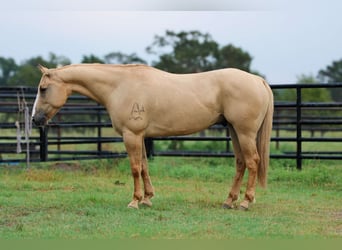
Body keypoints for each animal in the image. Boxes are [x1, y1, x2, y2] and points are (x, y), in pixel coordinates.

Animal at [31, 64, 272, 211]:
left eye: (43, 89)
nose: (35, 119)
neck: (119, 86)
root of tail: (258, 80)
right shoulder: (140, 137)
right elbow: (144, 167)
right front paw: (147, 198)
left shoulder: (131, 135)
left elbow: (135, 168)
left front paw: (135, 201)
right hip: (234, 131)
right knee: (240, 163)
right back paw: (229, 201)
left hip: (245, 133)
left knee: (252, 162)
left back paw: (245, 202)